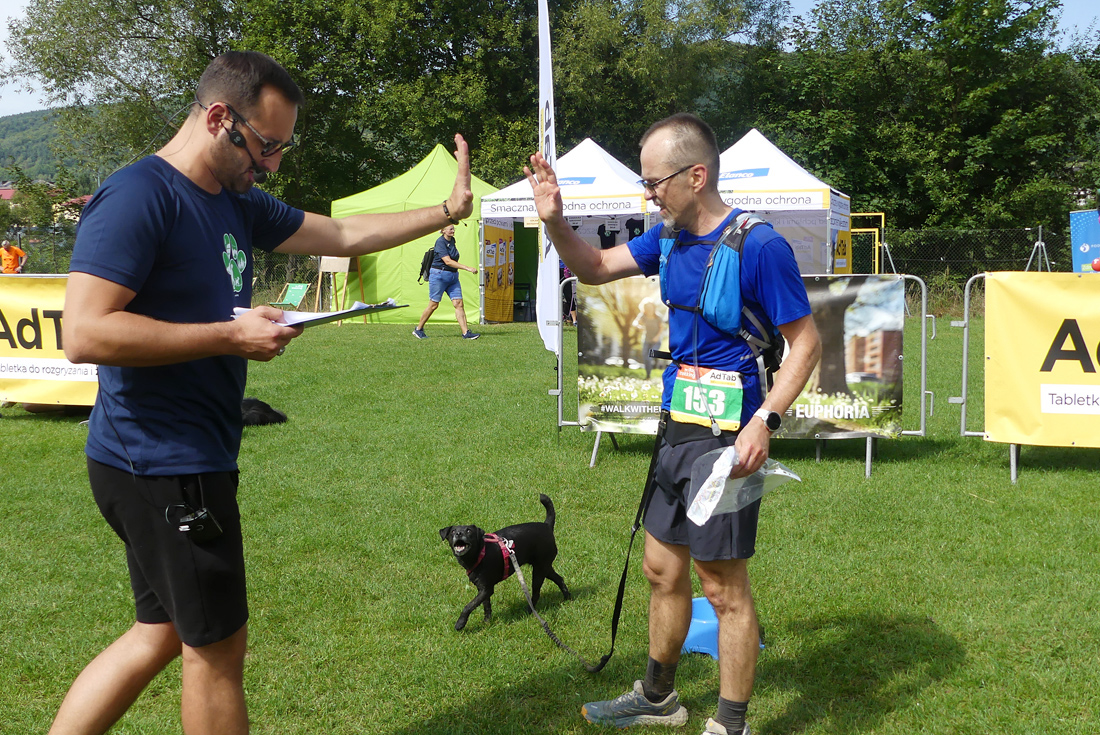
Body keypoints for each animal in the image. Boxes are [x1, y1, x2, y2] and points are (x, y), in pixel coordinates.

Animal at [440, 493, 572, 631]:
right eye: (453, 531)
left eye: (469, 531)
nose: (459, 533)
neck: (480, 552)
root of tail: (547, 526)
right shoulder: (483, 589)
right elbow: (486, 606)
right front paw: (487, 622)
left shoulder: (487, 589)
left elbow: (469, 606)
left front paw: (460, 623)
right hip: (544, 566)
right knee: (559, 579)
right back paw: (567, 597)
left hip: (539, 571)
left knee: (536, 593)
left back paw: (528, 611)